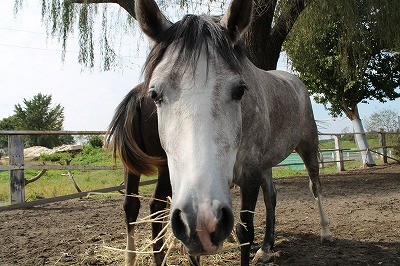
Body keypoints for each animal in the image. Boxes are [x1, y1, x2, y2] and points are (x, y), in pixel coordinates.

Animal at [107, 82, 171, 264]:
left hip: (131, 167)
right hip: (165, 166)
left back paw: (130, 257)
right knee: (156, 205)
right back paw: (159, 256)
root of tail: (138, 95)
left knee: (131, 205)